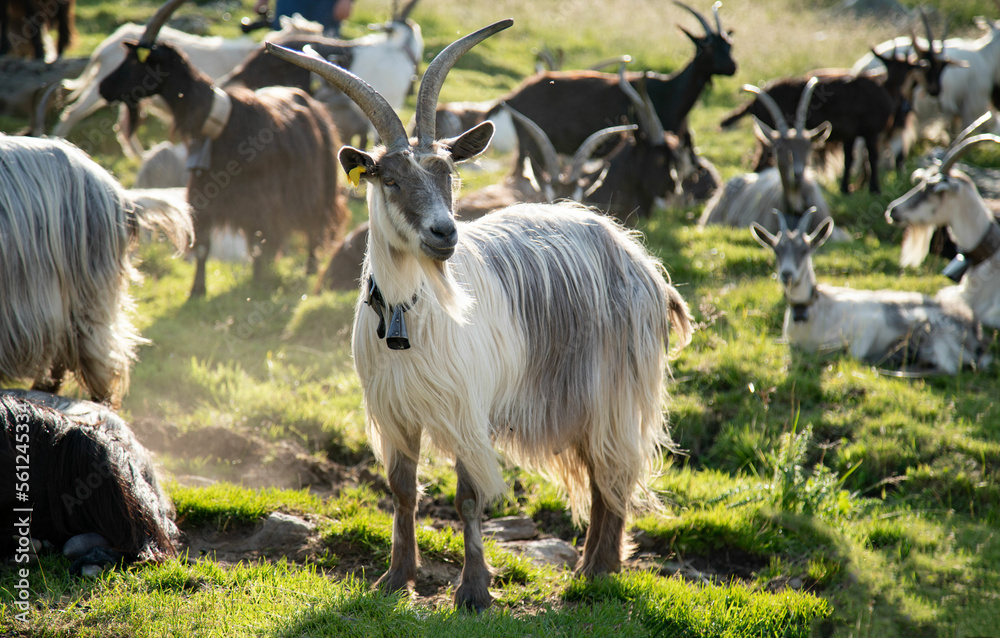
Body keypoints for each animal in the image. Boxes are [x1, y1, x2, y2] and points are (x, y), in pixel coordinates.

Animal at [99, 0, 346, 299]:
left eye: (137, 61)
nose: (103, 87)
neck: (220, 125)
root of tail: (311, 103)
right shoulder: (204, 199)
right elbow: (204, 247)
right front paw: (197, 290)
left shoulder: (260, 204)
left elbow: (258, 246)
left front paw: (257, 283)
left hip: (321, 184)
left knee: (314, 227)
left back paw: (309, 268)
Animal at [266, 20, 693, 611]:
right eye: (389, 179)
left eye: (447, 172)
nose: (444, 233)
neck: (410, 315)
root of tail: (638, 258)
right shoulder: (396, 412)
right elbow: (402, 492)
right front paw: (396, 577)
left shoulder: (465, 410)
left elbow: (467, 498)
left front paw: (473, 590)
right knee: (599, 472)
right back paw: (591, 565)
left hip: (611, 390)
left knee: (614, 471)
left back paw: (599, 569)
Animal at [751, 210, 989, 375]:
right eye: (776, 250)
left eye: (805, 250)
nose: (787, 274)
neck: (814, 313)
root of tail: (974, 332)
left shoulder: (868, 324)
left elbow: (852, 355)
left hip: (936, 333)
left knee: (947, 368)